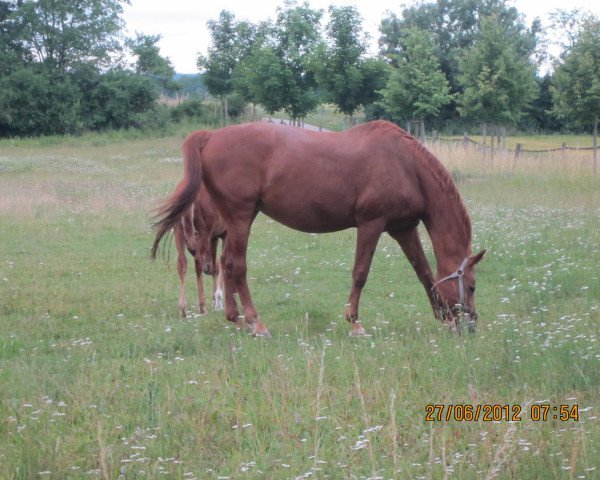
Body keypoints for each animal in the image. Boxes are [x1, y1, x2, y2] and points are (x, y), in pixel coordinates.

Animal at [172, 184, 226, 318]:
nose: (207, 269)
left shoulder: (213, 237)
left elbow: (215, 266)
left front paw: (214, 300)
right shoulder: (224, 233)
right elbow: (223, 261)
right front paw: (218, 302)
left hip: (179, 232)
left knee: (182, 263)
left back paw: (183, 308)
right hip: (203, 232)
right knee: (198, 262)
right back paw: (202, 307)